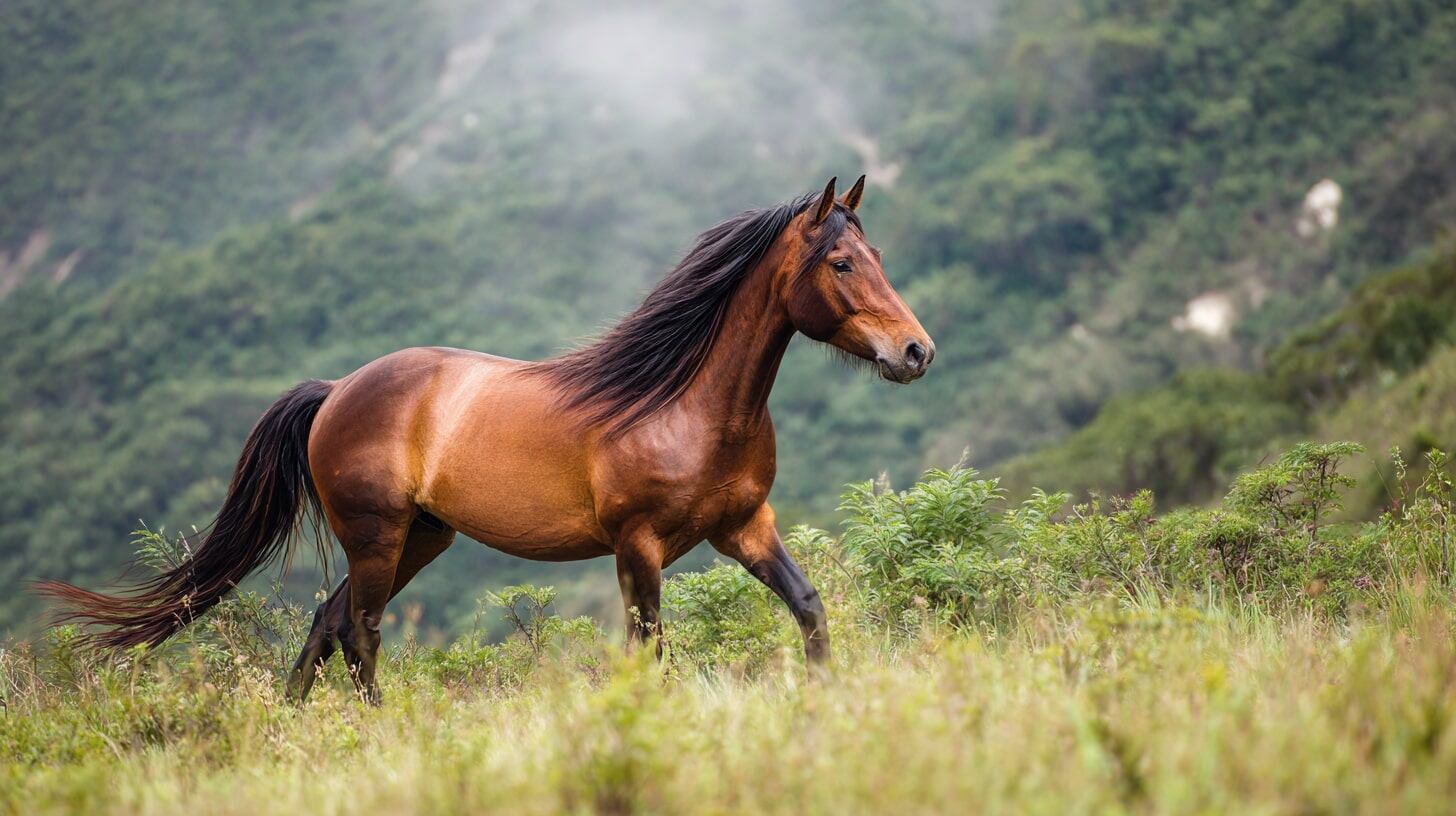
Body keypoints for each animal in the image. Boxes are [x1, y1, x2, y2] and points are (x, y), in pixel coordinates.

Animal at [39, 176, 935, 703]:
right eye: (842, 264)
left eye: (876, 253)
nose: (916, 352)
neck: (688, 405)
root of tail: (336, 392)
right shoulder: (639, 546)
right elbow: (647, 647)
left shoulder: (744, 527)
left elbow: (809, 609)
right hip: (378, 535)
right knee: (359, 630)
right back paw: (379, 733)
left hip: (421, 539)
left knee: (328, 623)